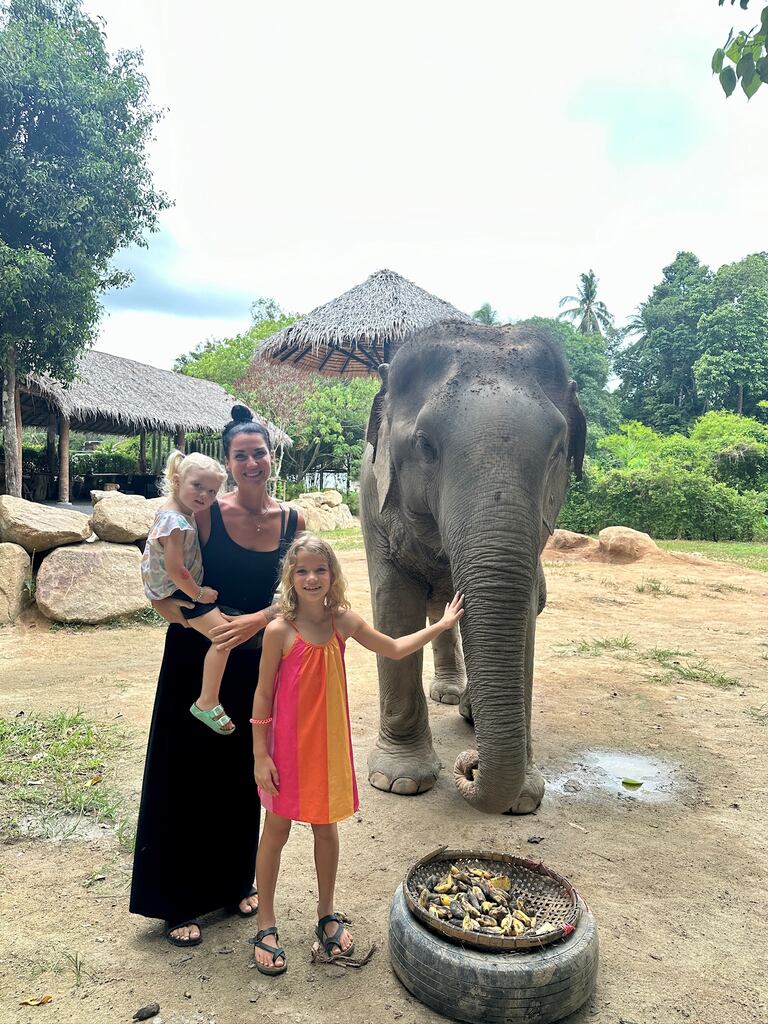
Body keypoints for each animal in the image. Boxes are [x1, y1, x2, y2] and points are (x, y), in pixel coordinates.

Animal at [358, 319, 585, 815]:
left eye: (558, 449)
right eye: (424, 445)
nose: (471, 765)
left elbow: (524, 613)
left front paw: (523, 799)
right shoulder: (371, 497)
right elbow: (395, 603)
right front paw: (398, 781)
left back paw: (465, 708)